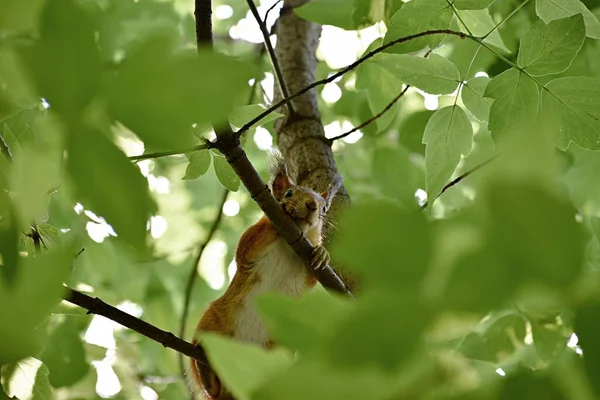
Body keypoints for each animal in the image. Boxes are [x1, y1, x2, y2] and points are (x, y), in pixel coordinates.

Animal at [189, 155, 338, 398]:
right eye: (288, 193)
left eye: (324, 207)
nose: (312, 206)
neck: (290, 240)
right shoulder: (249, 247)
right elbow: (249, 242)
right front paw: (281, 213)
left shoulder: (308, 269)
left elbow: (312, 276)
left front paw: (323, 252)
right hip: (211, 323)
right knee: (211, 387)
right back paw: (205, 370)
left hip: (281, 351)